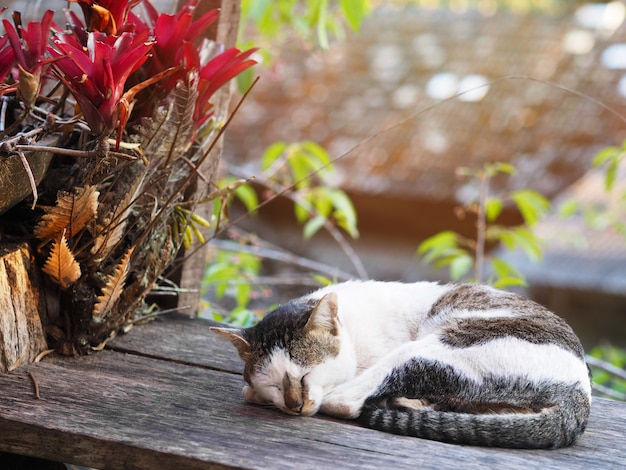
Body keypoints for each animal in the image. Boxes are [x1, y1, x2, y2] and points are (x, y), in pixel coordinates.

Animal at [211, 280, 588, 450]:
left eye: (306, 375)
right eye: (274, 384)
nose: (294, 404)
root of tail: (579, 394)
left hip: (436, 345)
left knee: (346, 401)